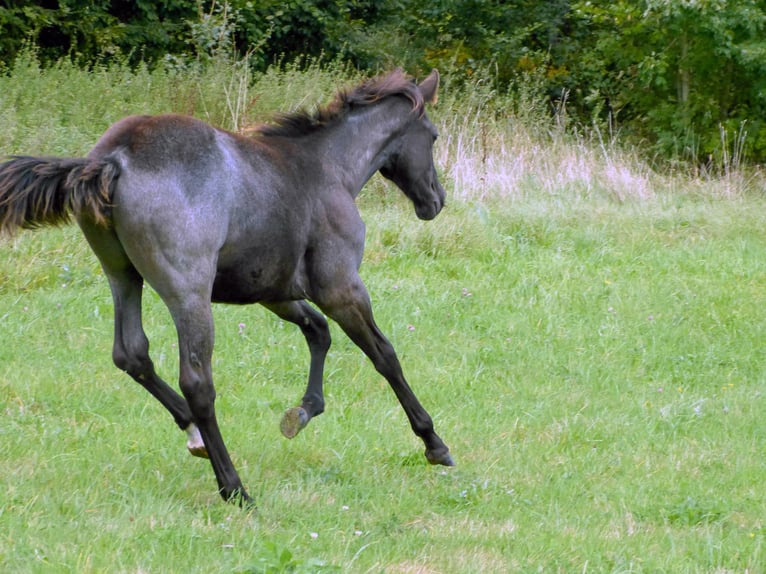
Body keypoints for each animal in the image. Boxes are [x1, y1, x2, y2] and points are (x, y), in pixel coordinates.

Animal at [0, 68, 452, 508]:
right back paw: (234, 488)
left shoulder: (275, 292)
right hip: (189, 295)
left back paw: (194, 435)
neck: (326, 168)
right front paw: (434, 443)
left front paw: (303, 412)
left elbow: (317, 332)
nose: (436, 200)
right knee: (197, 383)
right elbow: (384, 356)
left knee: (132, 354)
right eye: (432, 136)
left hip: (122, 275)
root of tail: (114, 159)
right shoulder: (341, 288)